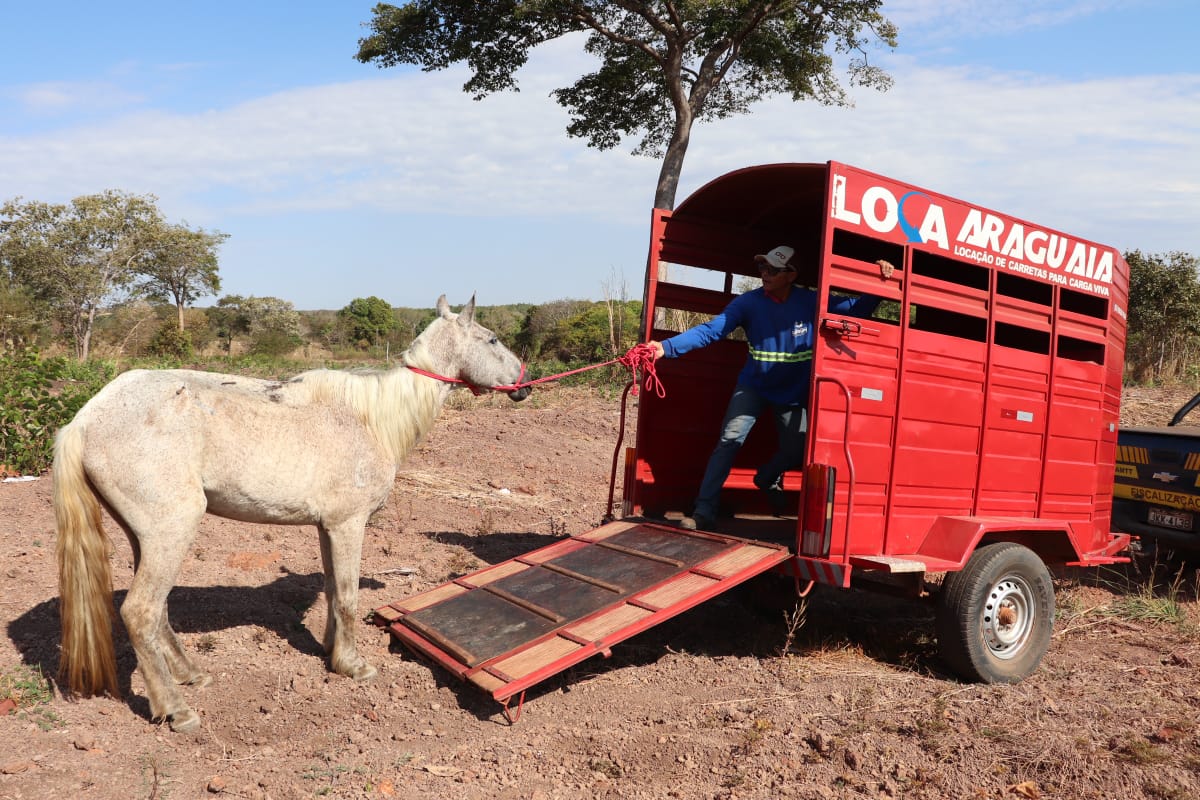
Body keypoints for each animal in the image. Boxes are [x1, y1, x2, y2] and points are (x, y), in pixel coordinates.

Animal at [54, 296, 528, 734]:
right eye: (492, 339)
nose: (524, 385)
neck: (368, 419)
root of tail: (85, 419)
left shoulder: (327, 528)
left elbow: (334, 590)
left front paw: (332, 652)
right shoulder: (349, 524)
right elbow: (350, 596)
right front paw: (354, 665)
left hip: (146, 539)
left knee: (158, 613)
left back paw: (190, 675)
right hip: (170, 532)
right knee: (141, 613)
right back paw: (177, 709)